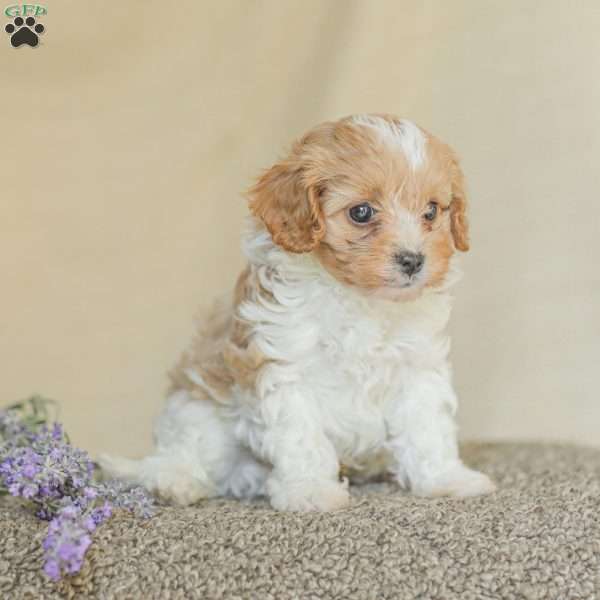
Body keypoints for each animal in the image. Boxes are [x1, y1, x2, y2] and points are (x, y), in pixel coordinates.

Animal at [101, 113, 496, 510]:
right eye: (361, 212)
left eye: (431, 211)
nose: (413, 260)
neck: (358, 298)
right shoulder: (284, 364)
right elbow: (302, 437)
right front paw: (311, 490)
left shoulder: (417, 366)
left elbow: (427, 428)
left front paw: (446, 478)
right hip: (199, 412)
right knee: (179, 452)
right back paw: (175, 480)